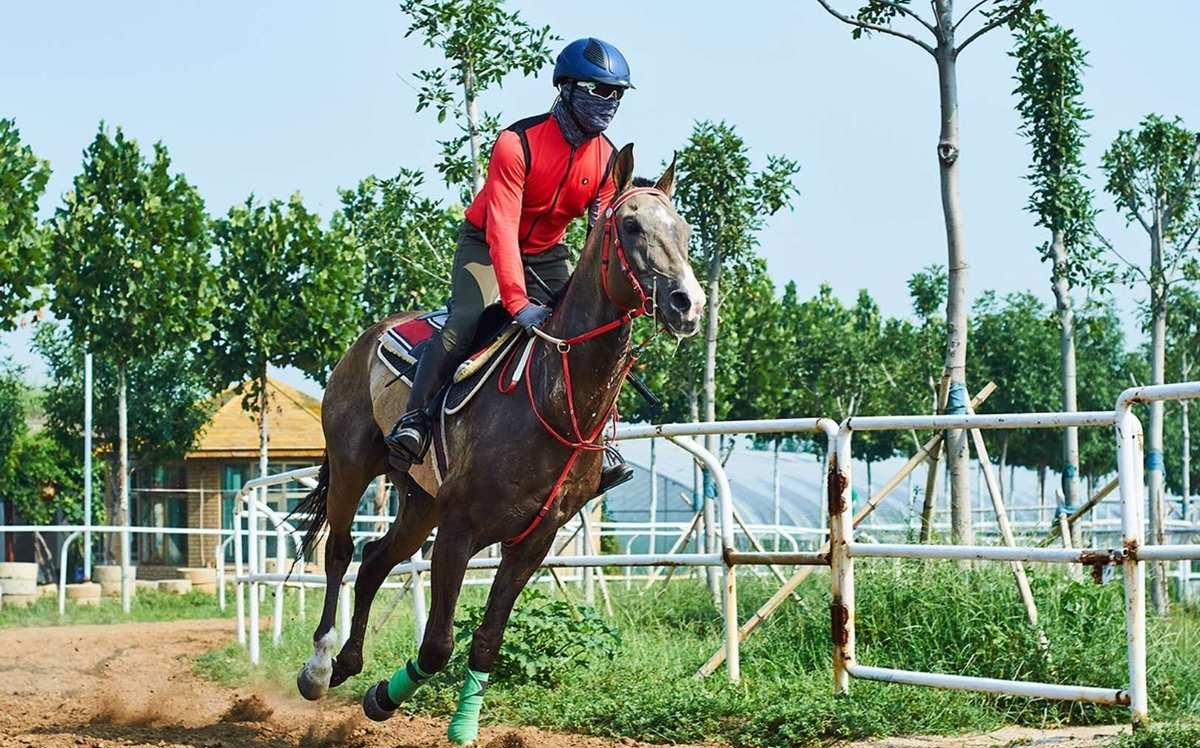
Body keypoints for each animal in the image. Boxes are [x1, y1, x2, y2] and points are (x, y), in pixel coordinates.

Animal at [290, 143, 700, 744]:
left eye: (685, 230)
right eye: (630, 226)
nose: (687, 303)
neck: (553, 397)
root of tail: (365, 341)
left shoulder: (533, 540)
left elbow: (486, 640)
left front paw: (447, 720)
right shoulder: (459, 531)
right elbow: (437, 645)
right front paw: (386, 698)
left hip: (420, 503)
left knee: (374, 560)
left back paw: (349, 662)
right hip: (352, 467)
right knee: (341, 551)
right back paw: (320, 666)